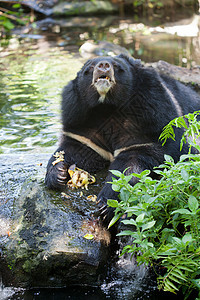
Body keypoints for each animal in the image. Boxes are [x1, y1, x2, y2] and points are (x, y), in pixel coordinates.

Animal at [45, 54, 200, 224]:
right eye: (90, 67)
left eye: (116, 66)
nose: (103, 65)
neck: (106, 107)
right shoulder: (81, 121)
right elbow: (77, 148)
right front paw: (57, 173)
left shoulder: (151, 117)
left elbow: (132, 163)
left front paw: (106, 205)